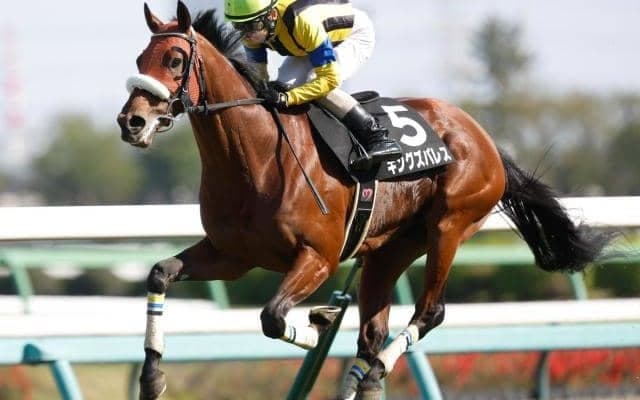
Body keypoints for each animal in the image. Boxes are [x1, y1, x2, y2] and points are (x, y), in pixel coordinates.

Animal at [117, 2, 612, 399]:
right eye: (140, 58)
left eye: (175, 58)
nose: (131, 121)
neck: (254, 156)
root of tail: (484, 139)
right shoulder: (233, 255)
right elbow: (160, 274)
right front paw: (152, 378)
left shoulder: (318, 256)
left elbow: (273, 318)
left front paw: (319, 323)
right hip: (390, 249)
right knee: (373, 334)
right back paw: (363, 377)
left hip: (450, 225)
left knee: (429, 312)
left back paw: (373, 367)